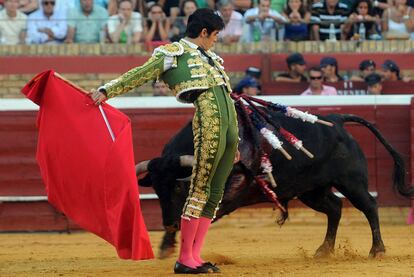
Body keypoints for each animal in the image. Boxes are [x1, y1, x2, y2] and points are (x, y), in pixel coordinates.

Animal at [137, 111, 412, 258]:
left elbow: (197, 217)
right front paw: (166, 247)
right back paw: (324, 250)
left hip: (350, 181)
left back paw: (377, 249)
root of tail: (335, 119)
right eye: (157, 190)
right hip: (311, 190)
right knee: (334, 208)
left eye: (177, 187)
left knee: (369, 206)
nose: (168, 224)